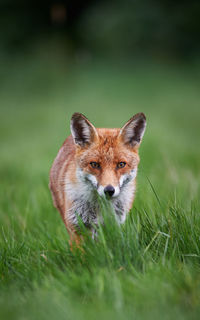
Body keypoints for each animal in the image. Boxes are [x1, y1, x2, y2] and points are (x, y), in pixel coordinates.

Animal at [48, 111, 145, 244]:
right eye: (94, 164)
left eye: (121, 164)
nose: (109, 190)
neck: (100, 207)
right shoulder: (77, 226)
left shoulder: (114, 226)